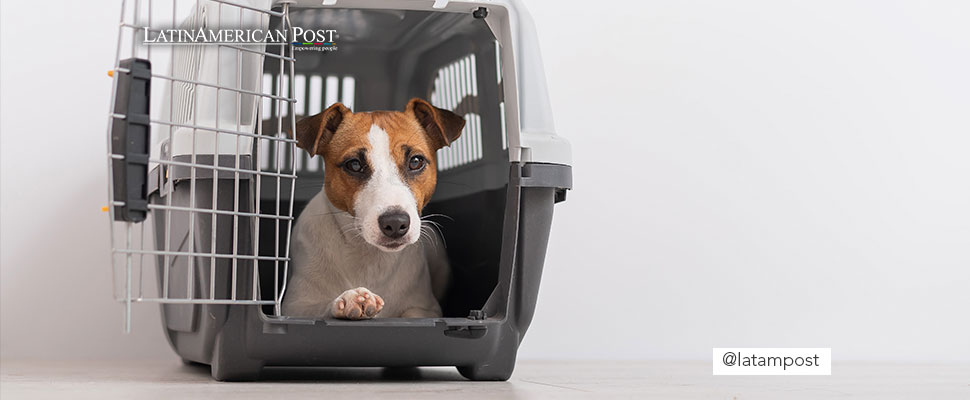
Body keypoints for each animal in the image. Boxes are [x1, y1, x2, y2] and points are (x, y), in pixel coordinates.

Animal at [280, 98, 466, 320]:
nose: (395, 223)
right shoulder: (293, 306)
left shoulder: (426, 309)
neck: (369, 256)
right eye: (354, 164)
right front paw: (350, 299)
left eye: (415, 161)